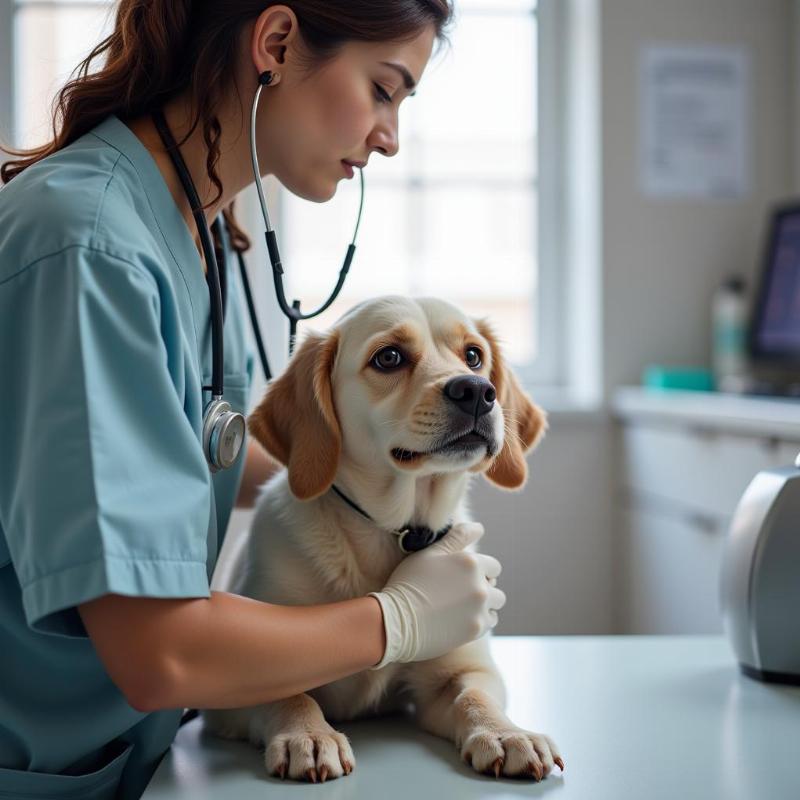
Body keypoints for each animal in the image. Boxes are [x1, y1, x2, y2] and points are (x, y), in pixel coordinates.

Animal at [203, 294, 564, 780]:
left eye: (473, 355)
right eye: (389, 357)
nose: (476, 390)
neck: (393, 532)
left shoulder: (462, 669)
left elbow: (475, 696)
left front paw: (507, 733)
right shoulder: (230, 696)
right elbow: (290, 693)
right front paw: (308, 735)